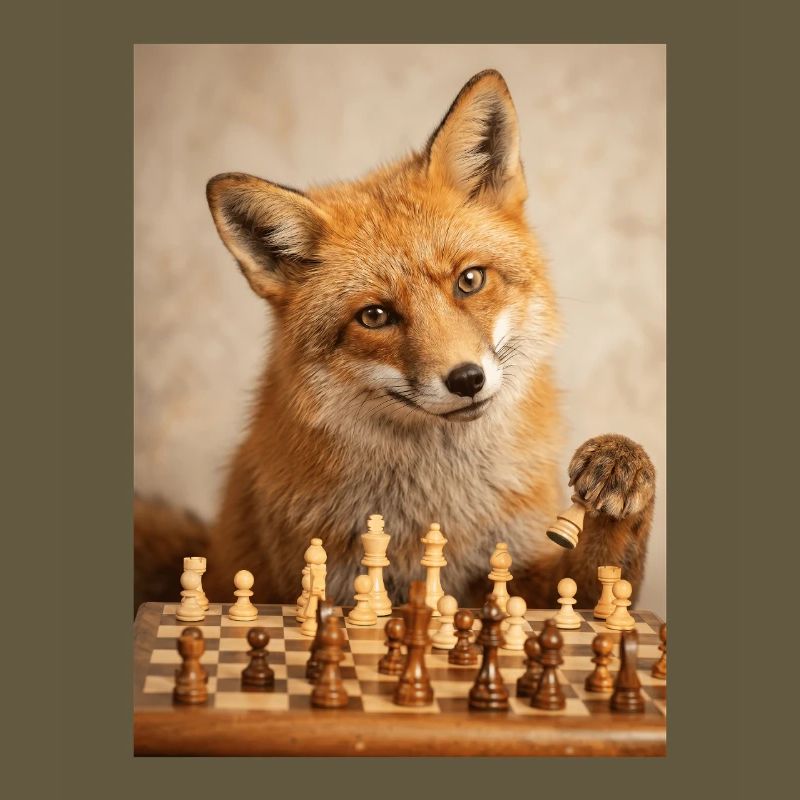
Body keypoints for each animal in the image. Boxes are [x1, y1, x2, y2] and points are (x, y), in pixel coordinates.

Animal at [134, 69, 655, 612]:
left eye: (469, 280)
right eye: (376, 316)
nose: (466, 380)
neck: (437, 507)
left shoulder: (519, 573)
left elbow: (602, 582)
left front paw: (620, 466)